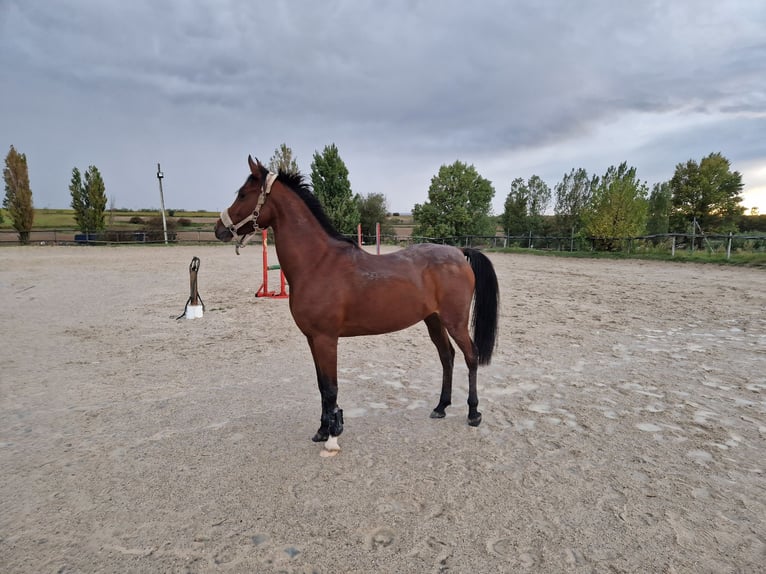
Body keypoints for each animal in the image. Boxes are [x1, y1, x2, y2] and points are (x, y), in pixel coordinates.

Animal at [216, 156, 504, 454]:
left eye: (243, 194)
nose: (219, 229)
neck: (317, 262)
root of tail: (458, 252)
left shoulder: (326, 339)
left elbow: (331, 388)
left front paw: (332, 434)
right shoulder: (312, 339)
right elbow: (321, 386)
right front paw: (322, 430)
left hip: (455, 321)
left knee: (471, 357)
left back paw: (473, 413)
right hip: (433, 320)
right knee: (447, 357)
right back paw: (441, 406)